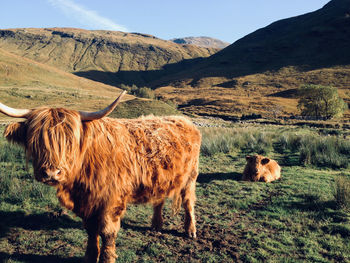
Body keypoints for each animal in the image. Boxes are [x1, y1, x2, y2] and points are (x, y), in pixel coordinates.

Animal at [0, 90, 202, 262]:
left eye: (70, 141)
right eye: (35, 140)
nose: (51, 173)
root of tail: (184, 120)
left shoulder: (111, 201)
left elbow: (107, 233)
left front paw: (106, 258)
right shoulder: (88, 203)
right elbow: (91, 231)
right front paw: (90, 256)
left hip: (190, 177)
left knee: (188, 201)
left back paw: (190, 230)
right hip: (161, 179)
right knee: (159, 199)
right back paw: (156, 224)